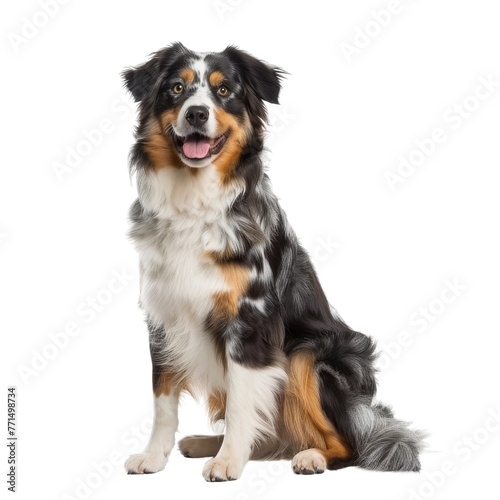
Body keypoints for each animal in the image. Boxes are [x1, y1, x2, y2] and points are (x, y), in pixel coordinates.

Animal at [123, 43, 424, 480]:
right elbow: (162, 399)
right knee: (269, 437)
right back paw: (206, 442)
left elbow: (241, 404)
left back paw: (312, 456)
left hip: (310, 357)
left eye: (224, 91)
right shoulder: (163, 318)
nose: (196, 113)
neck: (195, 201)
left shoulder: (250, 322)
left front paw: (229, 461)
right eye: (177, 88)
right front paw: (154, 457)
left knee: (348, 445)